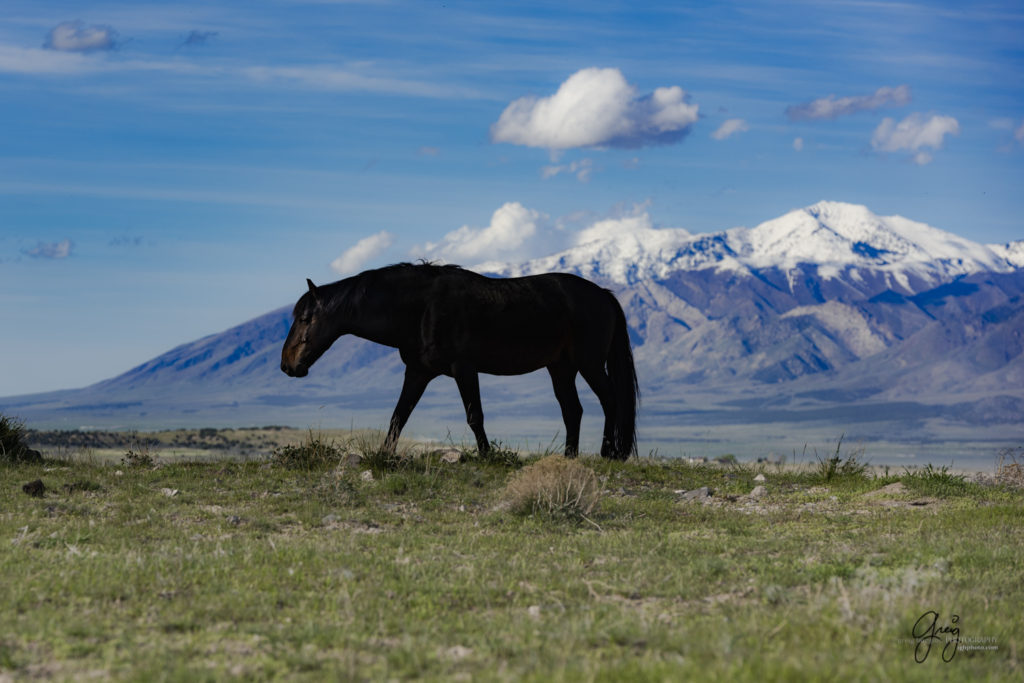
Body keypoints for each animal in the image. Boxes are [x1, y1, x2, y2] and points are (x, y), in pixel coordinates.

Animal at [278, 262, 630, 458]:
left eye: (306, 318)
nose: (286, 365)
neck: (421, 309)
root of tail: (604, 294)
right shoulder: (417, 372)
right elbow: (398, 416)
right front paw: (384, 455)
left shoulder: (464, 369)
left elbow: (475, 416)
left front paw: (487, 456)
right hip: (561, 368)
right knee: (573, 410)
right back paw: (570, 456)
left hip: (589, 363)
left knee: (611, 400)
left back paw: (610, 453)